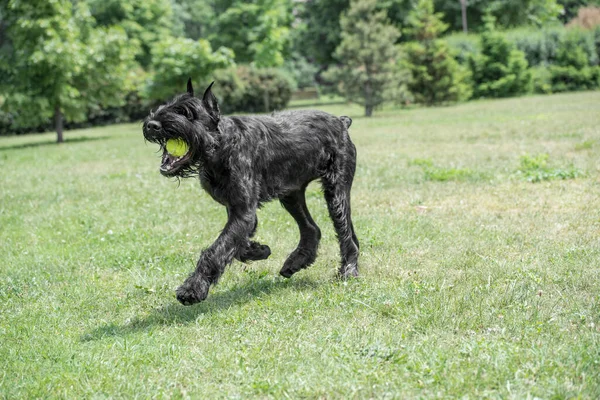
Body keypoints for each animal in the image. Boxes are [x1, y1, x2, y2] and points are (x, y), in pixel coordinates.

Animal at [143, 80, 358, 306]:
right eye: (166, 106)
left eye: (187, 113)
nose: (151, 125)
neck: (221, 146)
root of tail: (341, 122)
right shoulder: (237, 210)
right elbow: (234, 244)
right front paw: (259, 250)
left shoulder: (243, 211)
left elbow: (216, 249)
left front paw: (192, 288)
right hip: (292, 195)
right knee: (312, 229)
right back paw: (296, 262)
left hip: (336, 194)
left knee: (346, 235)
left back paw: (348, 271)